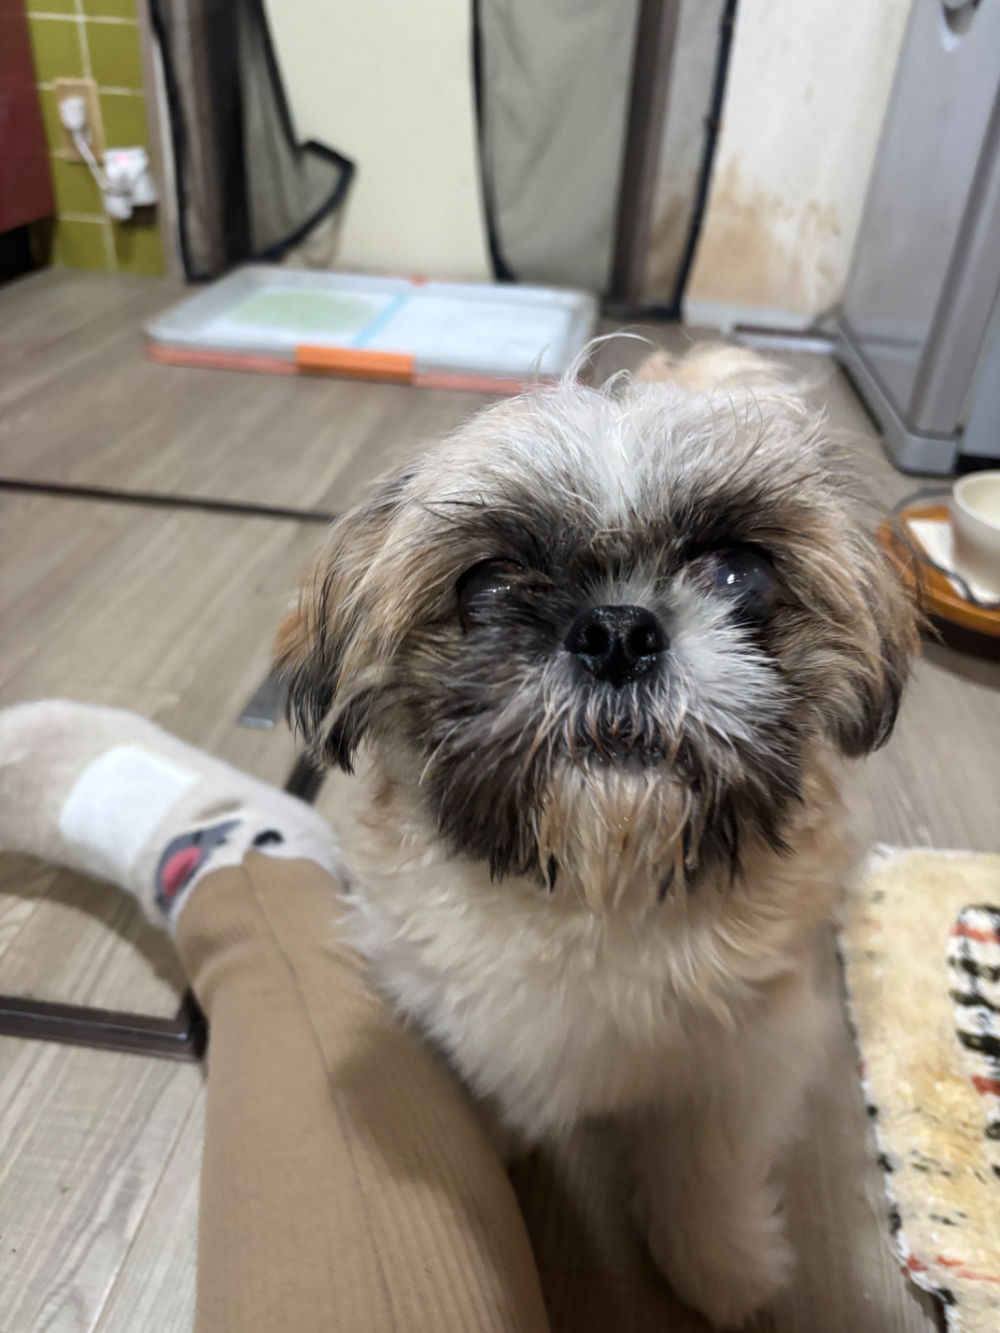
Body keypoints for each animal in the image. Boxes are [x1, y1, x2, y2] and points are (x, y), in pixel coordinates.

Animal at [275, 344, 917, 1327]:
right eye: (487, 582)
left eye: (739, 574)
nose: (618, 630)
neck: (598, 889)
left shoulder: (747, 1046)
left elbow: (704, 1155)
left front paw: (718, 1261)